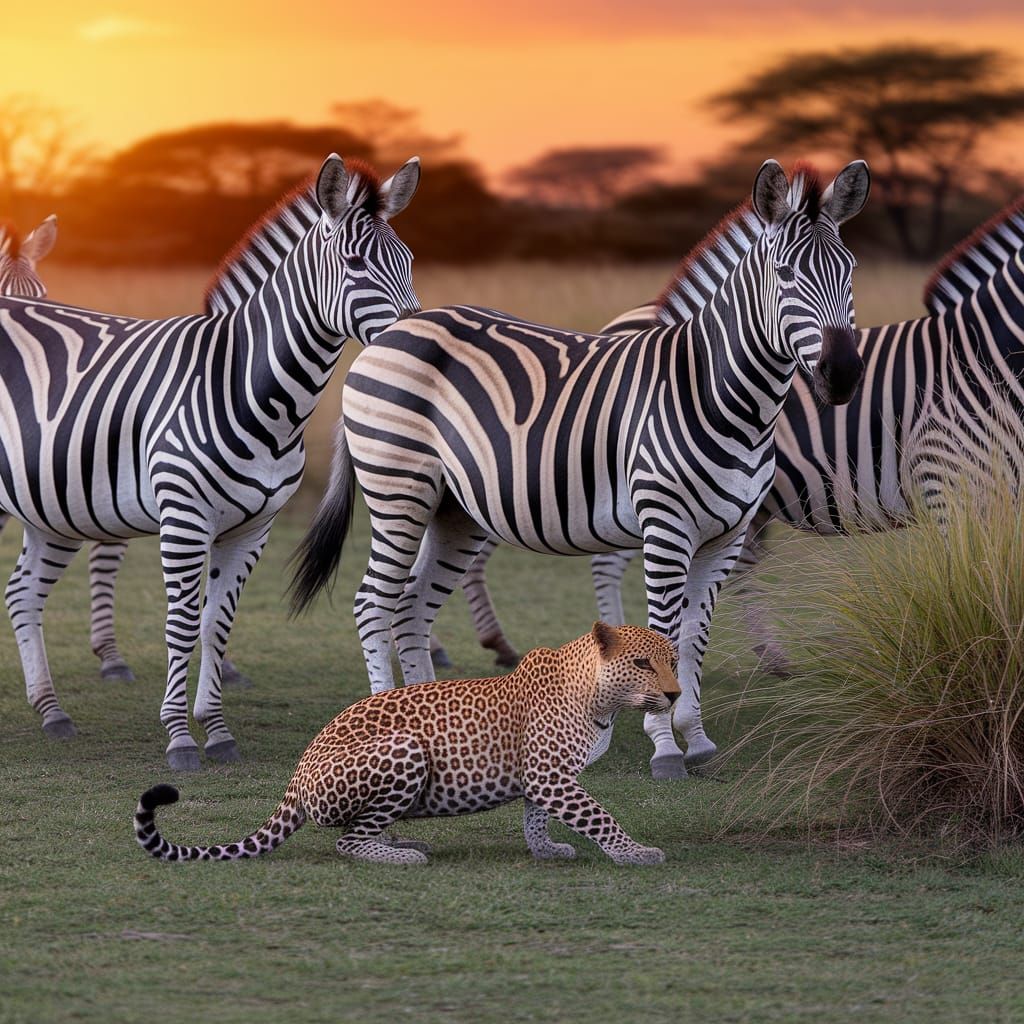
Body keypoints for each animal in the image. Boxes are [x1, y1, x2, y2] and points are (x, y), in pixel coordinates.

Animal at [0, 153, 421, 770]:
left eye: (409, 262)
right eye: (354, 263)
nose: (414, 342)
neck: (252, 388)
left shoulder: (253, 527)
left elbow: (216, 623)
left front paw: (217, 731)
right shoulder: (184, 517)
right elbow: (181, 624)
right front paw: (179, 737)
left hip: (54, 504)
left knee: (23, 592)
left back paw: (53, 712)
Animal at [134, 622, 680, 866]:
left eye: (673, 661)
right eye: (642, 664)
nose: (676, 694)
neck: (601, 702)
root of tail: (297, 773)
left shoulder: (544, 778)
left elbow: (536, 817)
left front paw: (545, 848)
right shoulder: (551, 776)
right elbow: (599, 816)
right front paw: (635, 852)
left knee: (359, 828)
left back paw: (398, 841)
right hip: (406, 750)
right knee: (346, 840)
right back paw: (398, 855)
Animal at [290, 159, 871, 779]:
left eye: (850, 271)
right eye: (783, 274)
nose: (841, 374)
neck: (717, 394)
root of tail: (389, 335)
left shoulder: (726, 537)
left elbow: (693, 638)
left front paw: (697, 739)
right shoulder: (665, 528)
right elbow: (661, 637)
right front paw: (666, 748)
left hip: (454, 511)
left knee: (412, 609)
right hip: (400, 491)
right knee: (374, 604)